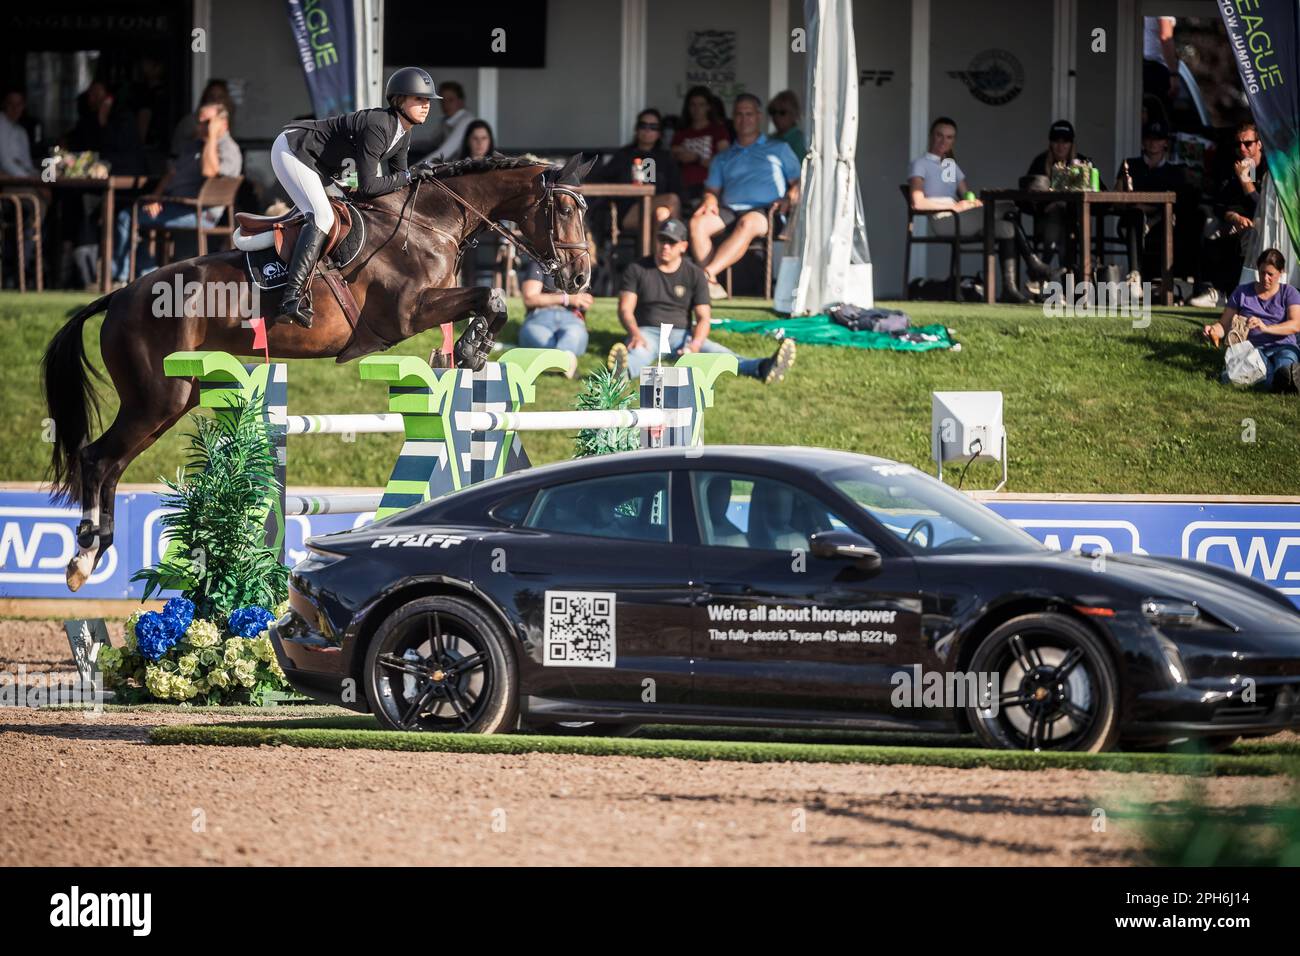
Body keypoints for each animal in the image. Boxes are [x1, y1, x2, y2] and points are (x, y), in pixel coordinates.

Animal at [40, 151, 598, 590]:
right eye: (566, 208)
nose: (579, 277)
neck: (430, 224)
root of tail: (120, 296)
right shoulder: (404, 314)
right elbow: (493, 294)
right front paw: (470, 346)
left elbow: (489, 300)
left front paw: (470, 350)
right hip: (159, 397)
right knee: (97, 459)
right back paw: (82, 559)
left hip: (172, 398)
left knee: (111, 462)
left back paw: (93, 552)